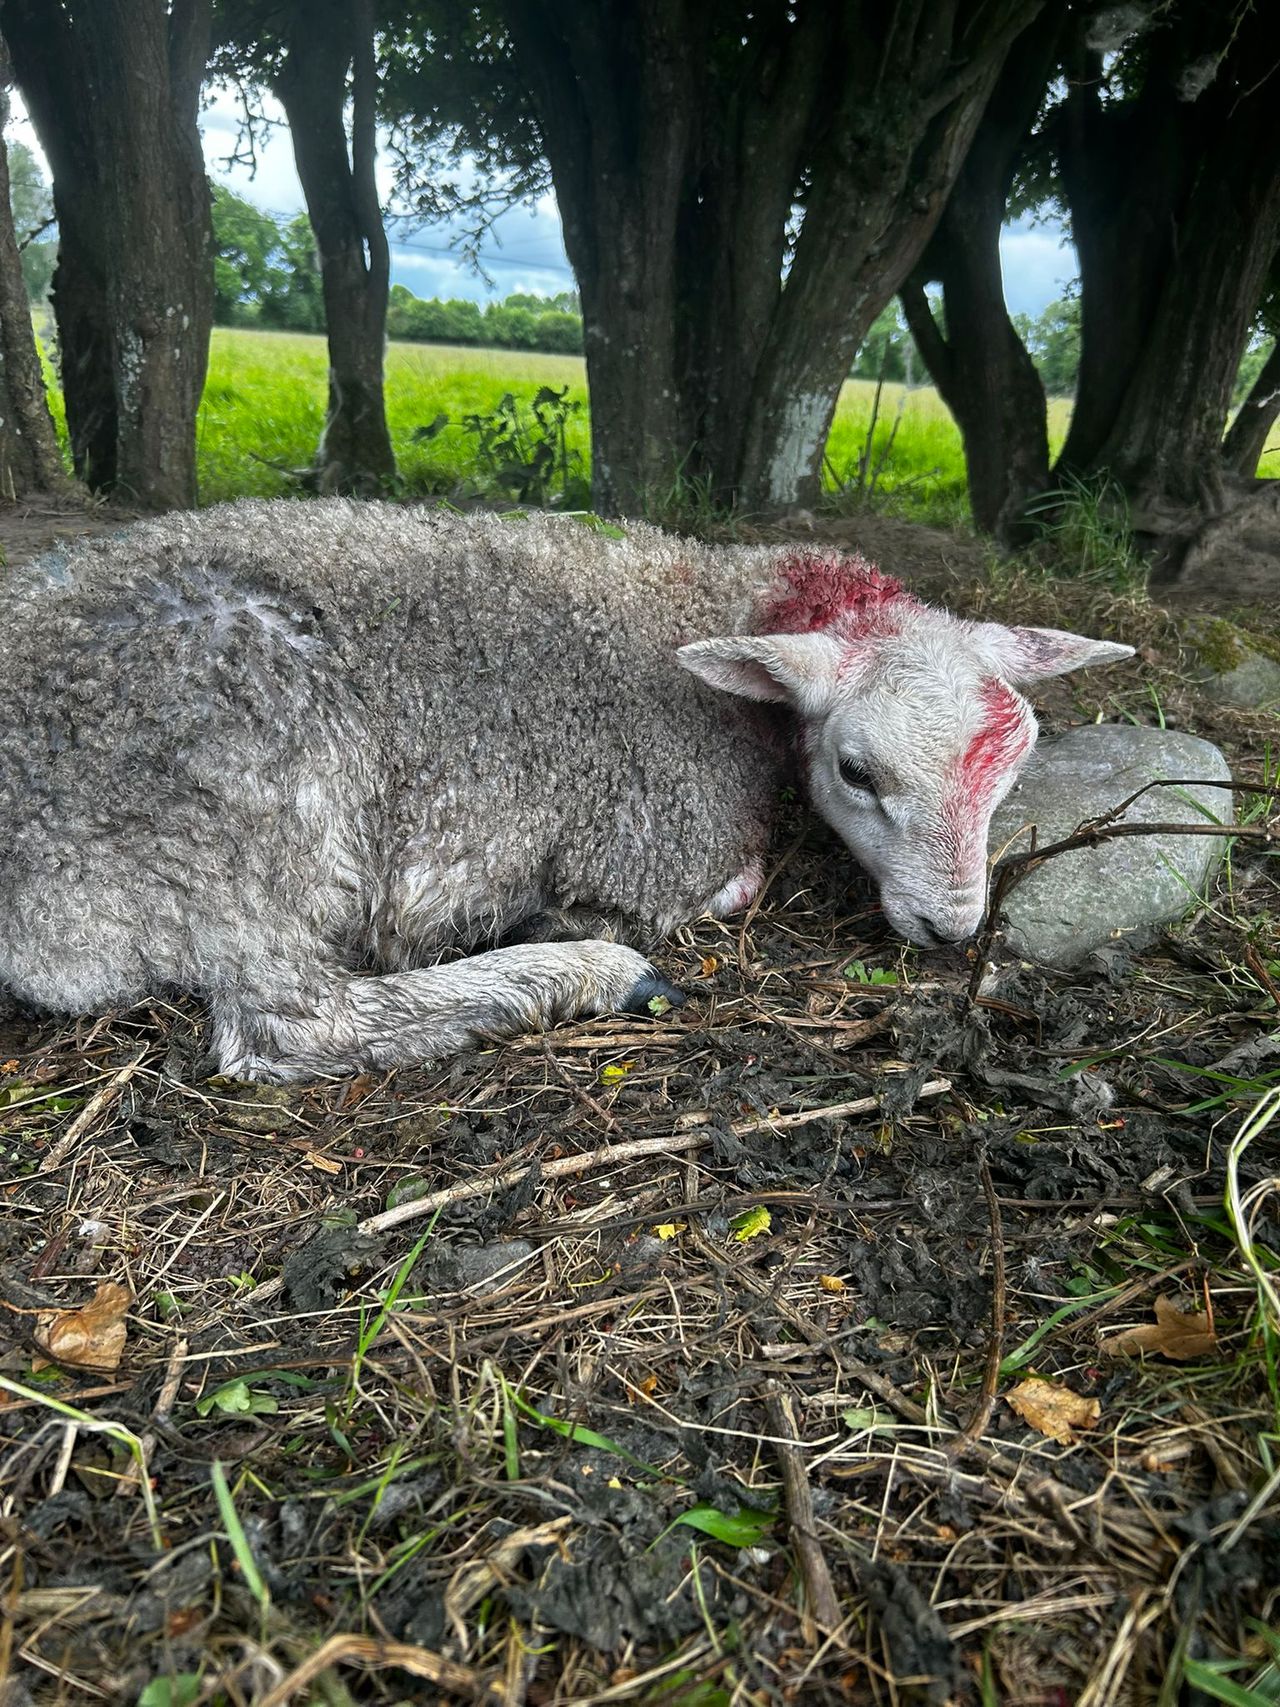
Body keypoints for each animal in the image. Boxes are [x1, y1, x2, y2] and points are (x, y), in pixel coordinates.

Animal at [0, 499, 1132, 1081]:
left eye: (1009, 769)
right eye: (857, 772)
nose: (952, 929)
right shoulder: (656, 837)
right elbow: (720, 888)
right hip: (238, 777)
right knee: (291, 1028)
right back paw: (583, 973)